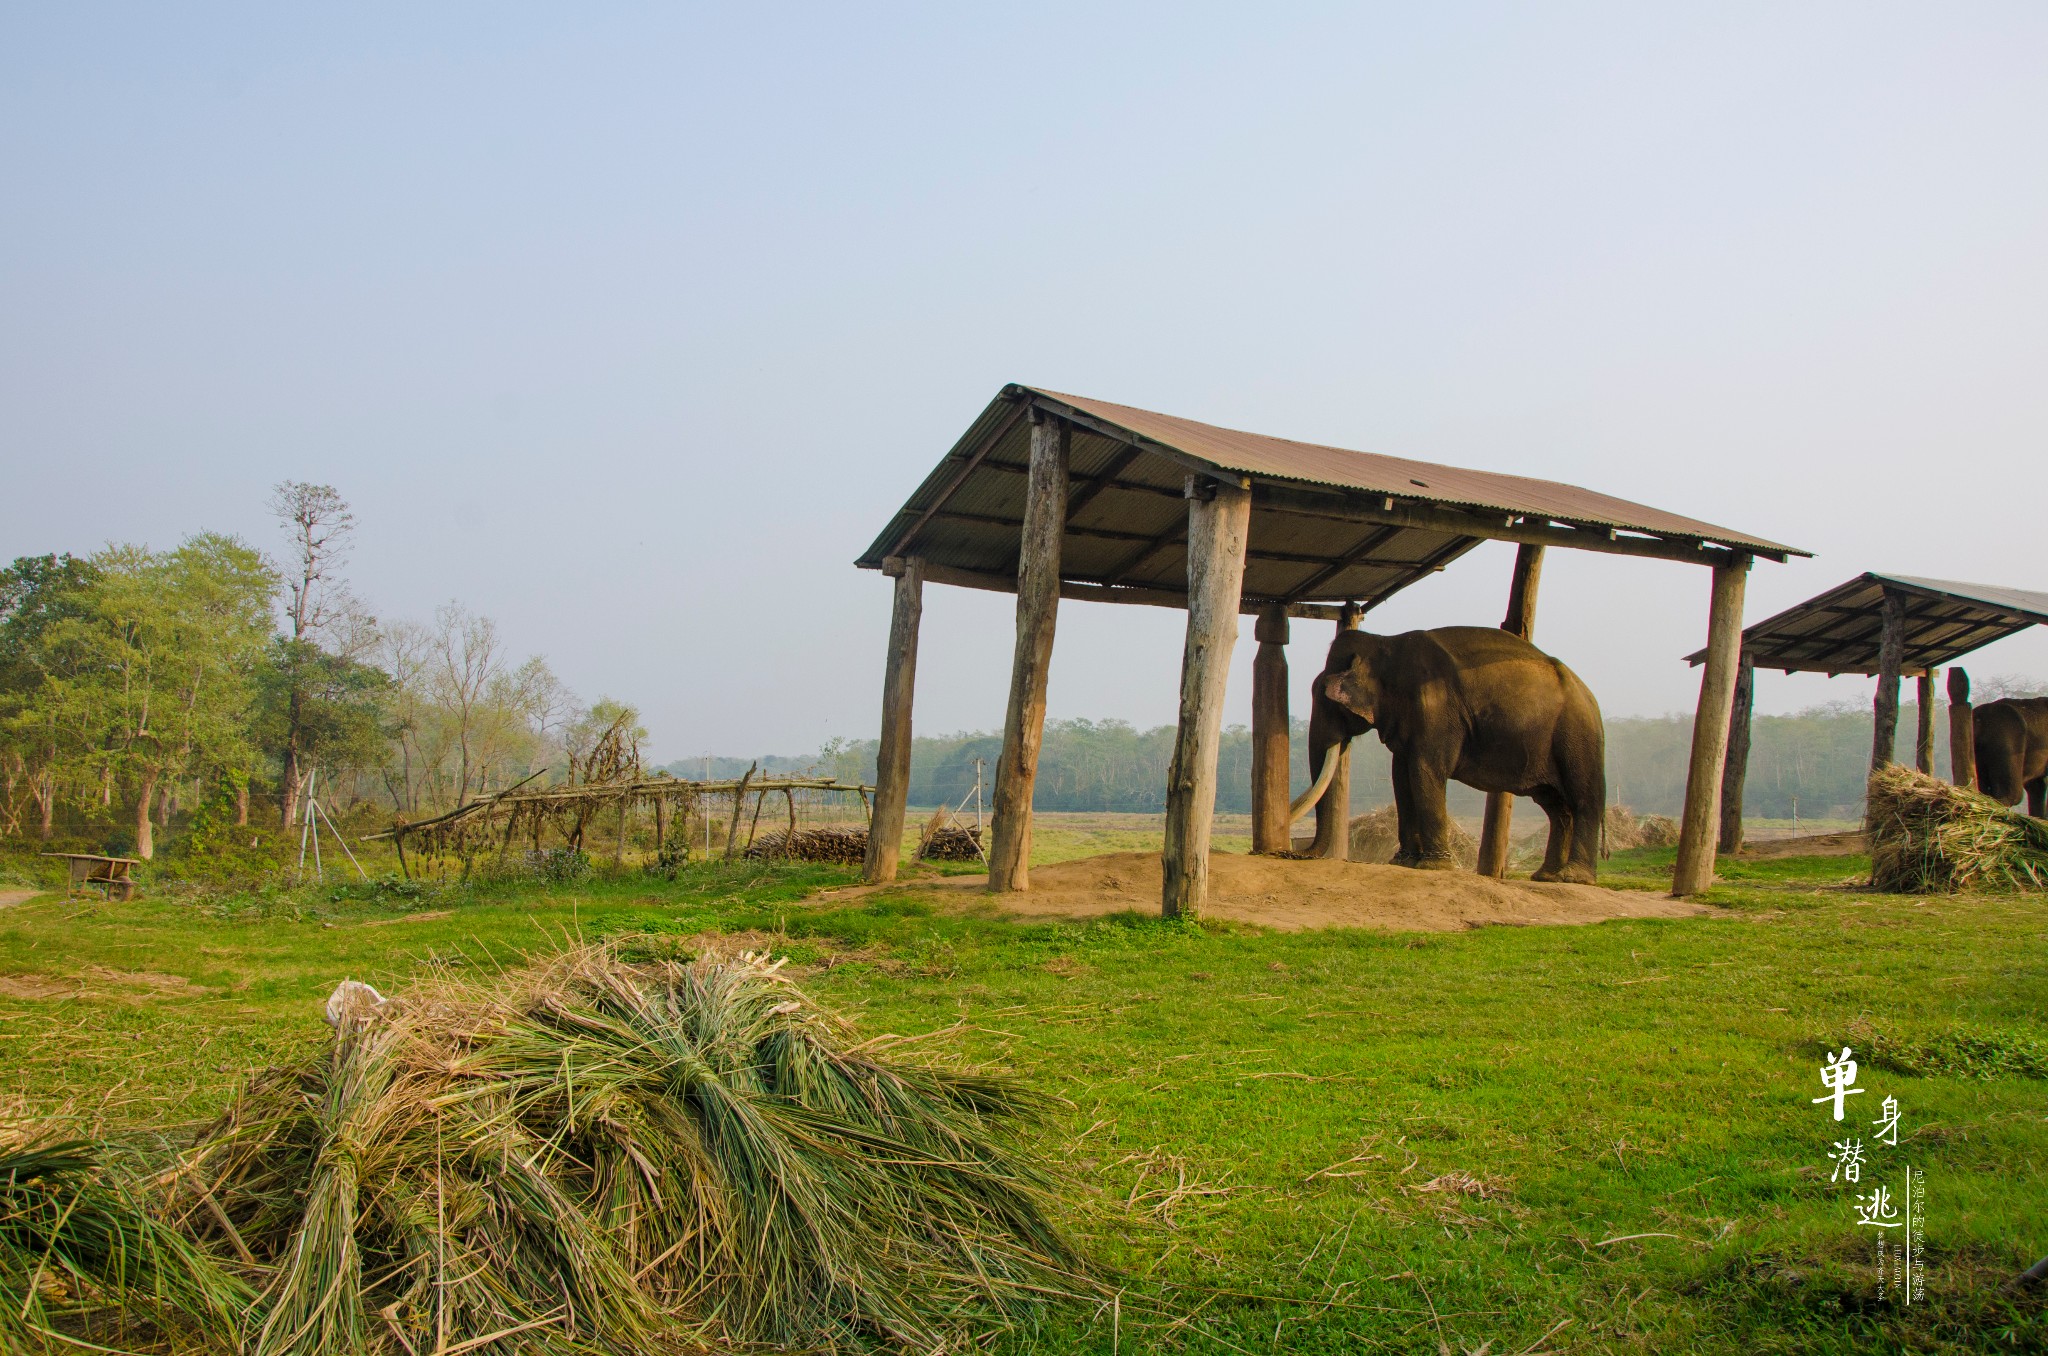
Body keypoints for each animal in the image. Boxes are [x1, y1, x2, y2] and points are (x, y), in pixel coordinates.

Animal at [1286, 630, 1605, 888]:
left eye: (1325, 698)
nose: (1295, 852)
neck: (1385, 642)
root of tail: (1590, 696)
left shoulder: (1435, 709)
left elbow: (1424, 770)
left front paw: (1432, 866)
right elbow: (1401, 777)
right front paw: (1403, 862)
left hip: (1578, 735)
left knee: (1584, 798)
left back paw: (1573, 878)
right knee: (1556, 807)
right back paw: (1547, 876)